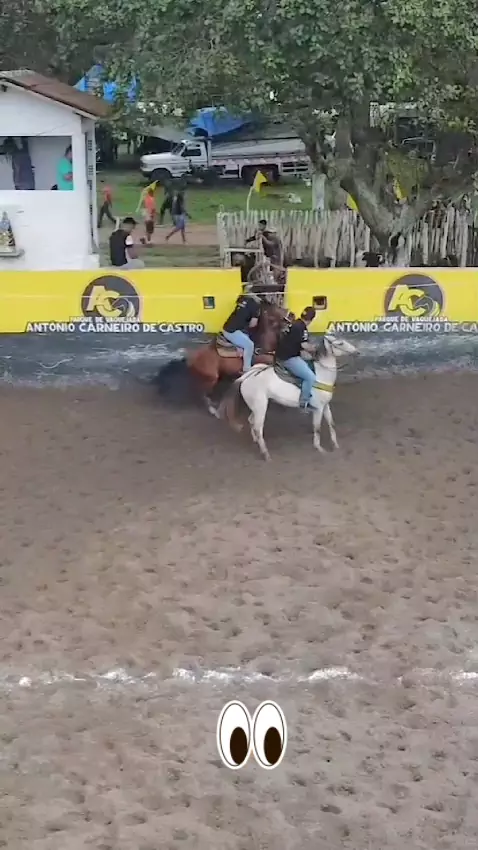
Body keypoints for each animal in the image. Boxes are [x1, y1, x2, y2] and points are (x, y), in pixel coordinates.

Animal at [155, 298, 291, 415]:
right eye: (277, 308)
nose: (292, 315)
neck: (260, 341)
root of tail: (192, 358)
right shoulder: (262, 360)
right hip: (211, 378)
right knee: (202, 393)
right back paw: (213, 410)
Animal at [219, 332, 358, 460]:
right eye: (340, 343)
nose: (357, 352)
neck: (321, 374)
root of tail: (247, 376)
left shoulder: (325, 406)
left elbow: (331, 424)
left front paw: (335, 445)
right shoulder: (318, 408)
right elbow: (317, 427)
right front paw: (319, 448)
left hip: (256, 406)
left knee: (251, 421)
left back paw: (255, 441)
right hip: (261, 407)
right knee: (258, 428)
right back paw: (266, 454)